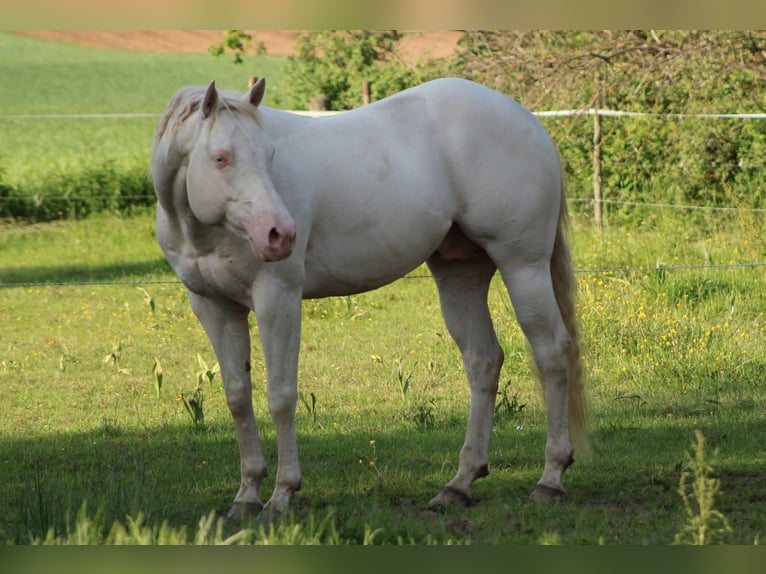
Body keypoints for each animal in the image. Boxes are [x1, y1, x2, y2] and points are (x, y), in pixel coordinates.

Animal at [151, 77, 587, 523]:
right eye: (221, 158)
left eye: (270, 154)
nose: (281, 234)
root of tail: (528, 120)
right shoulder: (214, 307)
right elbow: (238, 397)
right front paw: (246, 495)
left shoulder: (278, 297)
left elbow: (280, 396)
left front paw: (282, 495)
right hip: (461, 274)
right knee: (483, 361)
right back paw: (459, 485)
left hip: (523, 267)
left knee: (552, 353)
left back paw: (550, 478)